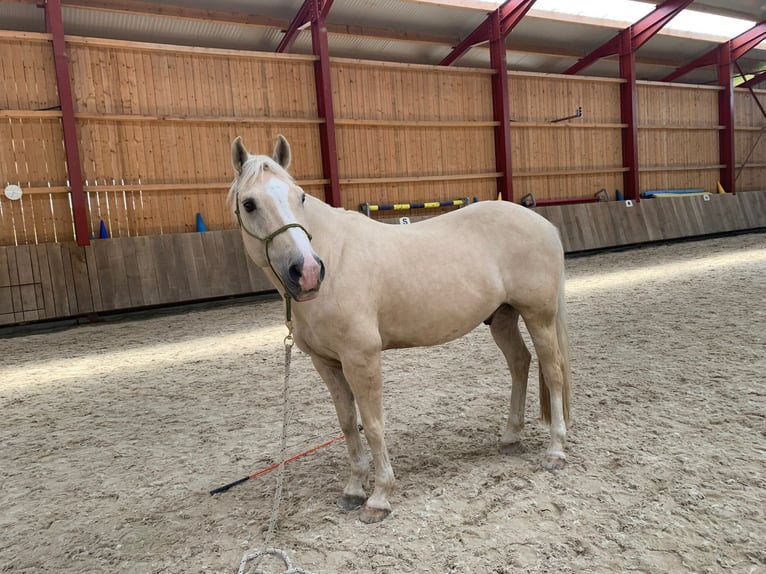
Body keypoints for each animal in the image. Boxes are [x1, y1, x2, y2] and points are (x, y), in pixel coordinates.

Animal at [229, 135, 571, 524]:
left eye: (299, 196)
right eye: (249, 203)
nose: (308, 271)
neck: (337, 256)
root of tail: (542, 224)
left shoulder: (362, 359)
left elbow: (373, 423)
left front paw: (379, 497)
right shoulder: (327, 364)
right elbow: (348, 422)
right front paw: (352, 490)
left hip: (539, 316)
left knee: (553, 371)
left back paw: (556, 450)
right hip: (502, 318)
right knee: (519, 363)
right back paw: (510, 436)